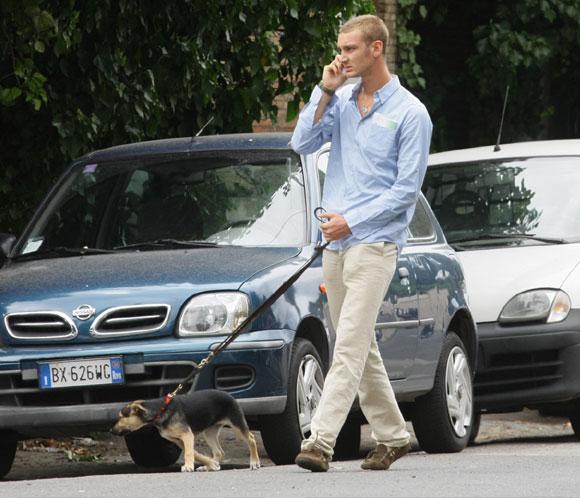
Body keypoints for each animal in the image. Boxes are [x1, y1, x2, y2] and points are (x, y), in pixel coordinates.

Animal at [111, 390, 260, 470]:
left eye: (121, 417)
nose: (111, 431)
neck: (160, 410)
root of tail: (229, 395)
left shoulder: (187, 435)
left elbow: (189, 453)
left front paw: (188, 466)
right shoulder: (178, 440)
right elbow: (195, 453)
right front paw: (210, 463)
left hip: (236, 424)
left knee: (251, 439)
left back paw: (254, 463)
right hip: (209, 432)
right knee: (219, 452)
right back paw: (209, 466)